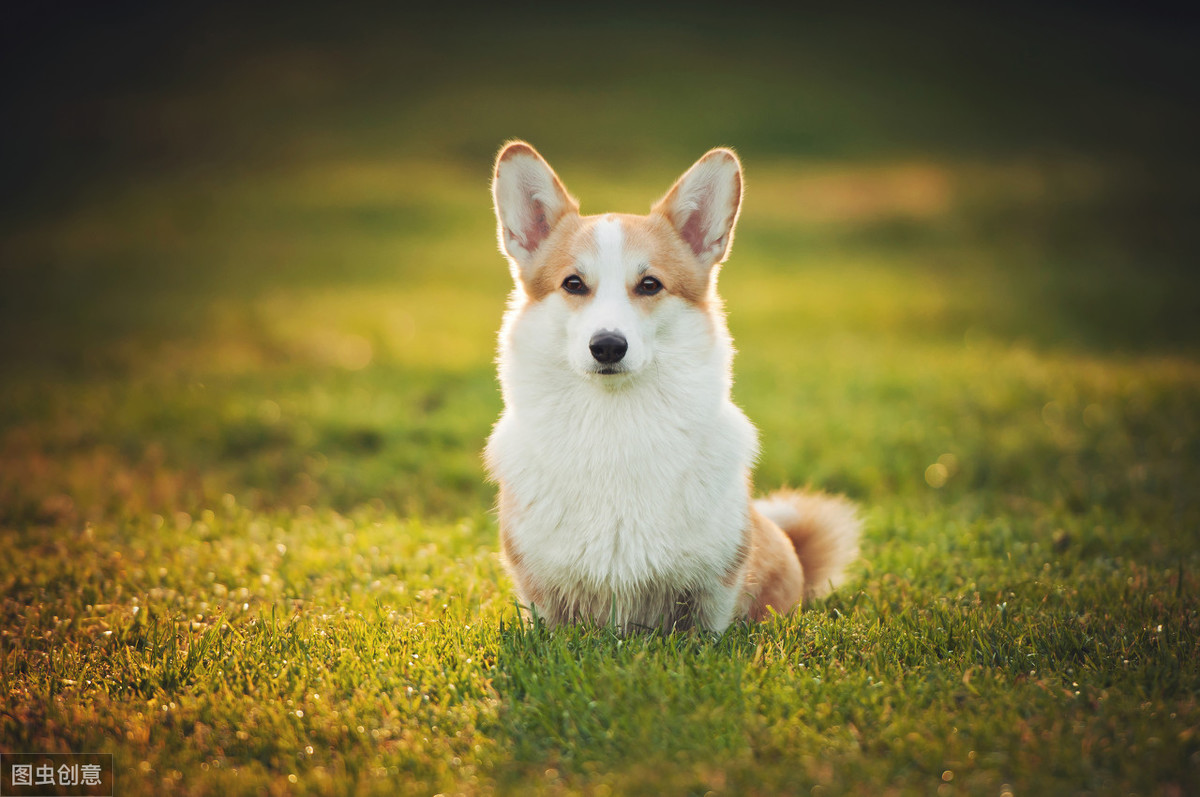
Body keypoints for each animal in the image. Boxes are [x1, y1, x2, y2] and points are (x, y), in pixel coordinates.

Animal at [482, 139, 859, 633]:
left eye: (649, 284)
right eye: (573, 283)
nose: (607, 347)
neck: (615, 425)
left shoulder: (715, 588)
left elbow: (707, 632)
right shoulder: (541, 593)